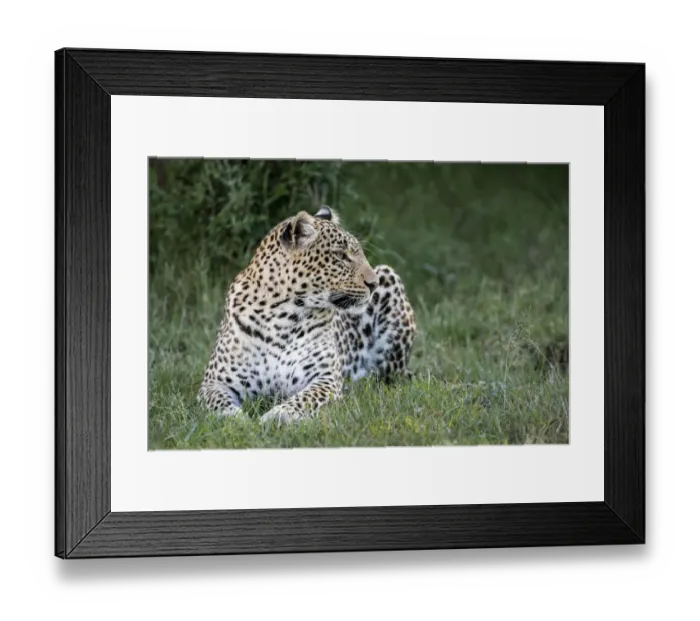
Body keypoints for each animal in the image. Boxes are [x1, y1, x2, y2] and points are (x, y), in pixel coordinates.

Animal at [198, 205, 417, 426]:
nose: (373, 284)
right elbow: (219, 402)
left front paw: (276, 417)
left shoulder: (325, 378)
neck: (280, 316)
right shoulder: (214, 381)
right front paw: (236, 421)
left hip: (389, 280)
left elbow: (304, 399)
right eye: (340, 256)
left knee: (386, 379)